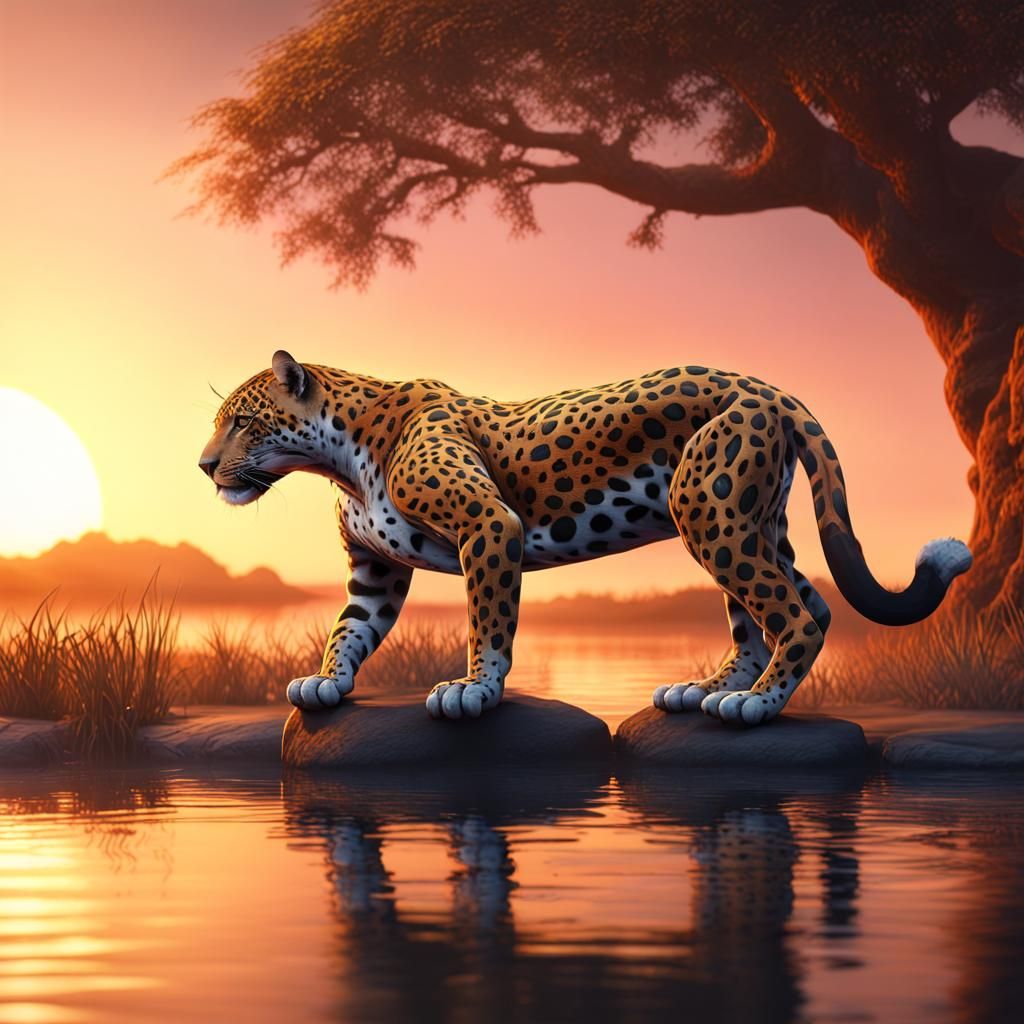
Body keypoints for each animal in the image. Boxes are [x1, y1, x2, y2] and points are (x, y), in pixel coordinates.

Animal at [199, 351, 972, 727]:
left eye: (242, 421)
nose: (204, 466)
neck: (339, 460)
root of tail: (772, 389)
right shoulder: (373, 569)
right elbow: (349, 629)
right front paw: (327, 682)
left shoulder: (488, 524)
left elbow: (488, 621)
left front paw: (473, 691)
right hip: (749, 521)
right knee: (796, 604)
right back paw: (703, 690)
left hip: (711, 512)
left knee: (794, 613)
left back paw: (753, 706)